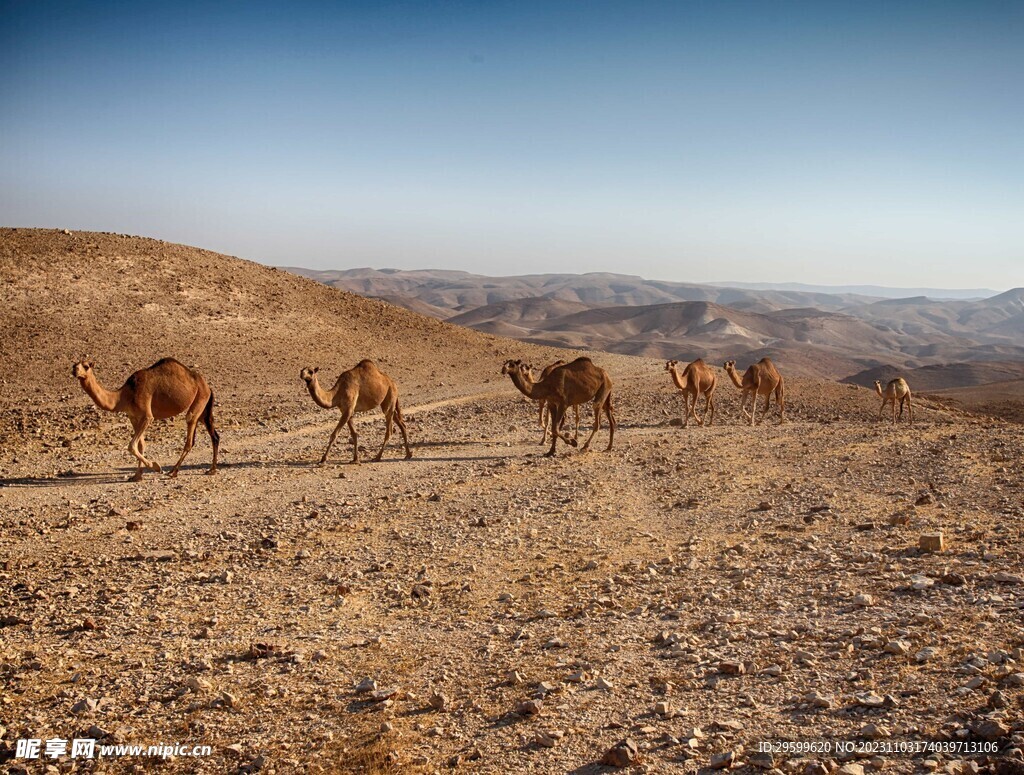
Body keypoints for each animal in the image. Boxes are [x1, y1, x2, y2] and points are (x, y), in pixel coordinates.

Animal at [72, 360, 224, 481]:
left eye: (86, 366)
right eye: (74, 365)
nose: (75, 371)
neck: (124, 395)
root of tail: (208, 386)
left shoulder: (147, 416)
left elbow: (132, 446)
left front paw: (156, 466)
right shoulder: (133, 417)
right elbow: (140, 445)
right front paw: (137, 476)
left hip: (199, 399)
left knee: (190, 436)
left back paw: (173, 471)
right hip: (203, 408)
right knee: (214, 435)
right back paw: (212, 469)